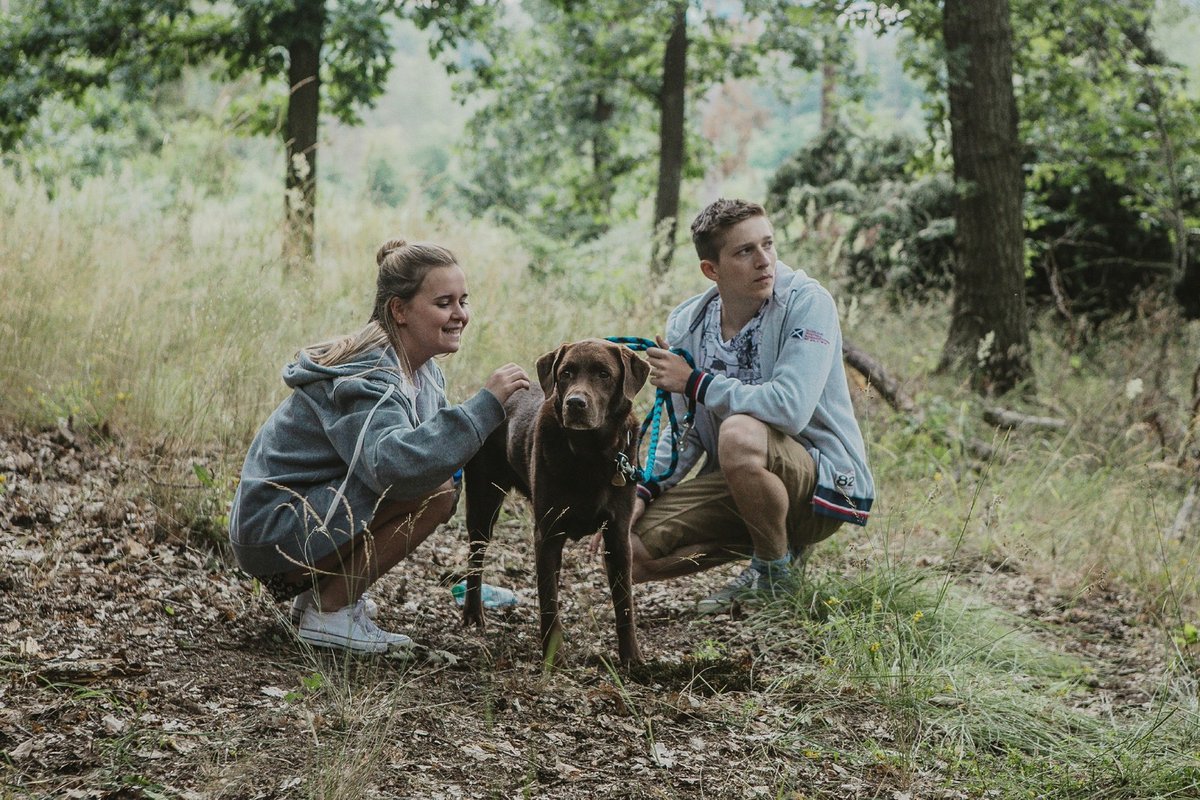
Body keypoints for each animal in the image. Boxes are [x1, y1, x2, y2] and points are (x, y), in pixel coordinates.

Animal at [460, 340, 652, 671]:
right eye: (566, 373)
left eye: (604, 374)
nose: (575, 403)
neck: (590, 456)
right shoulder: (547, 534)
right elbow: (549, 601)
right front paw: (554, 656)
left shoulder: (617, 535)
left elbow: (624, 602)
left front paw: (631, 658)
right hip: (483, 502)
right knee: (476, 556)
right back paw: (473, 614)